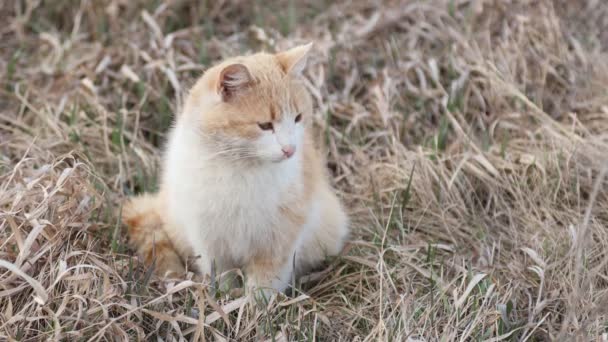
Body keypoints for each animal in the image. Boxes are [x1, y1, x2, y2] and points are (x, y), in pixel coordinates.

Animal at [121, 42, 350, 294]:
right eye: (265, 125)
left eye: (298, 118)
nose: (290, 150)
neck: (240, 168)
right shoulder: (209, 239)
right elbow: (221, 274)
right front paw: (225, 297)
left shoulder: (278, 241)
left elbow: (265, 282)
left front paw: (254, 304)